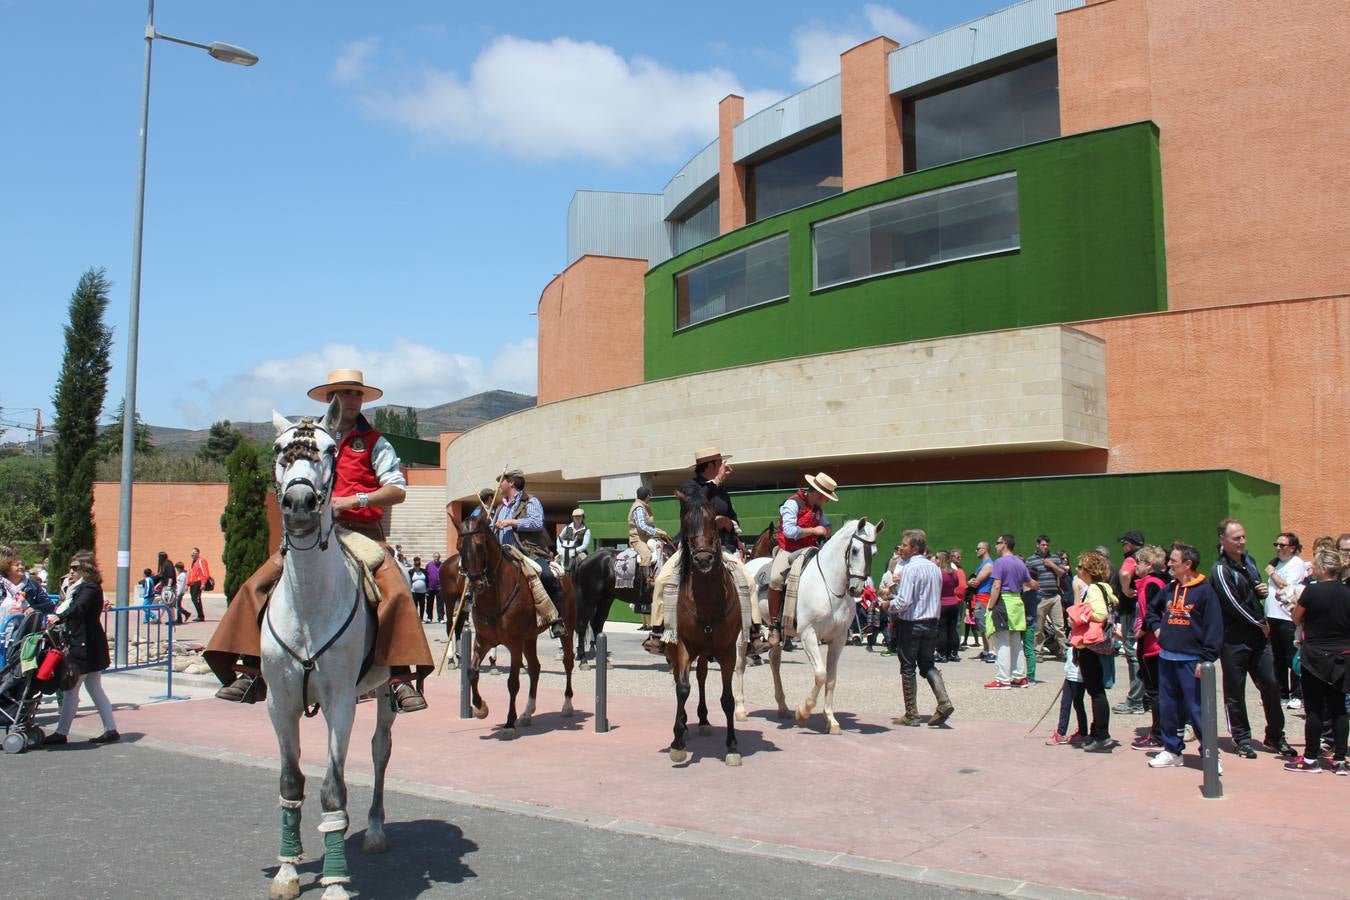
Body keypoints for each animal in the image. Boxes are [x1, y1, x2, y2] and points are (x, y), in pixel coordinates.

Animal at [260, 402, 394, 900]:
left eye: (331, 450)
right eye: (278, 449)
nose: (299, 504)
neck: (309, 604)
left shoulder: (340, 701)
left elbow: (333, 788)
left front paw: (336, 881)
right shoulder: (279, 702)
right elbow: (291, 781)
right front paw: (287, 870)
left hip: (386, 692)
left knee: (379, 750)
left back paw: (373, 830)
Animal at [459, 512, 575, 739]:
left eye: (480, 545)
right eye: (460, 547)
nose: (476, 584)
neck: (495, 594)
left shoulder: (514, 643)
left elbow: (512, 683)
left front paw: (508, 724)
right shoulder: (483, 641)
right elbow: (472, 672)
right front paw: (480, 708)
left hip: (568, 629)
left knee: (568, 662)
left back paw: (567, 705)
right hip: (529, 637)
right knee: (535, 668)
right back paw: (527, 712)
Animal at [666, 493, 745, 766]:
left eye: (713, 520)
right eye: (686, 522)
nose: (702, 560)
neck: (708, 600)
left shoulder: (727, 650)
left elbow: (728, 699)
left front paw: (732, 746)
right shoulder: (684, 645)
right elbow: (682, 688)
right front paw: (677, 742)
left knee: (701, 675)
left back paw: (703, 719)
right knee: (684, 678)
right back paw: (683, 726)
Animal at [734, 520, 880, 734]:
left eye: (875, 552)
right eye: (854, 550)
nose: (857, 589)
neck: (828, 584)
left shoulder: (838, 639)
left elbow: (831, 679)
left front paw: (831, 720)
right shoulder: (809, 634)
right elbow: (820, 674)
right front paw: (803, 712)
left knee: (774, 662)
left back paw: (782, 707)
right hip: (743, 630)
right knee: (739, 664)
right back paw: (740, 709)